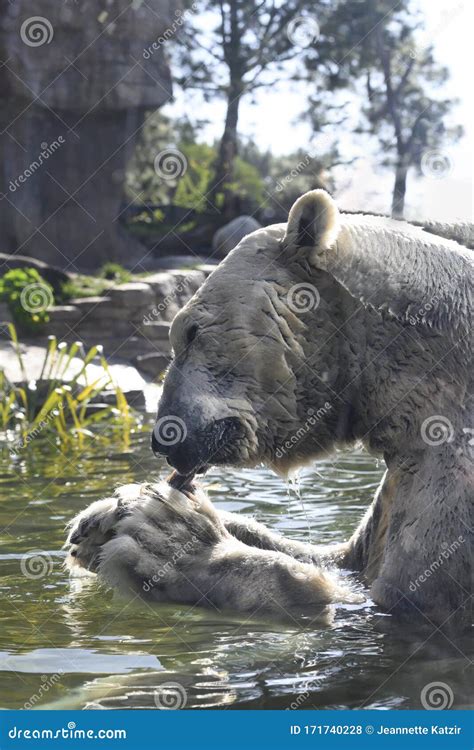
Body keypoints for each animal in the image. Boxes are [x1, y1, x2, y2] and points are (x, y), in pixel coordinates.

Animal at [151, 191, 470, 632]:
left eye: (190, 331)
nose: (162, 438)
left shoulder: (450, 479)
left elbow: (396, 601)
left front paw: (175, 539)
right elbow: (343, 559)